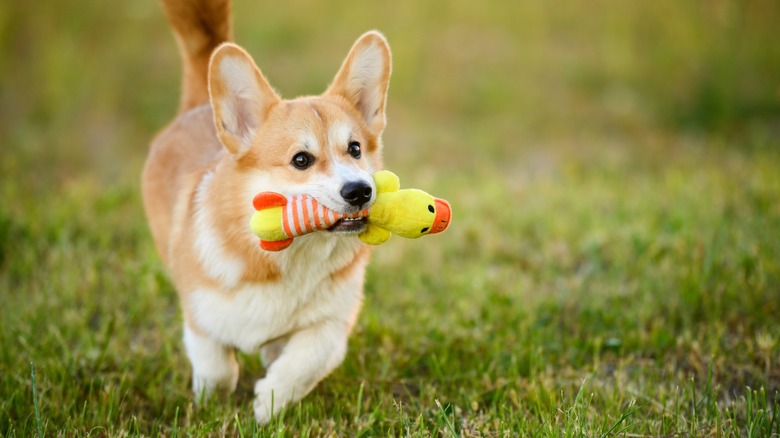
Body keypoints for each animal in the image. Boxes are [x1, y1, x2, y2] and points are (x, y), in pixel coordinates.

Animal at [142, 0, 390, 424]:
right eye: (301, 160)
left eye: (355, 149)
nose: (360, 191)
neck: (293, 255)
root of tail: (197, 106)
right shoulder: (199, 316)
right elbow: (217, 368)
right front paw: (212, 403)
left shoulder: (333, 321)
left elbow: (308, 359)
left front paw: (269, 402)